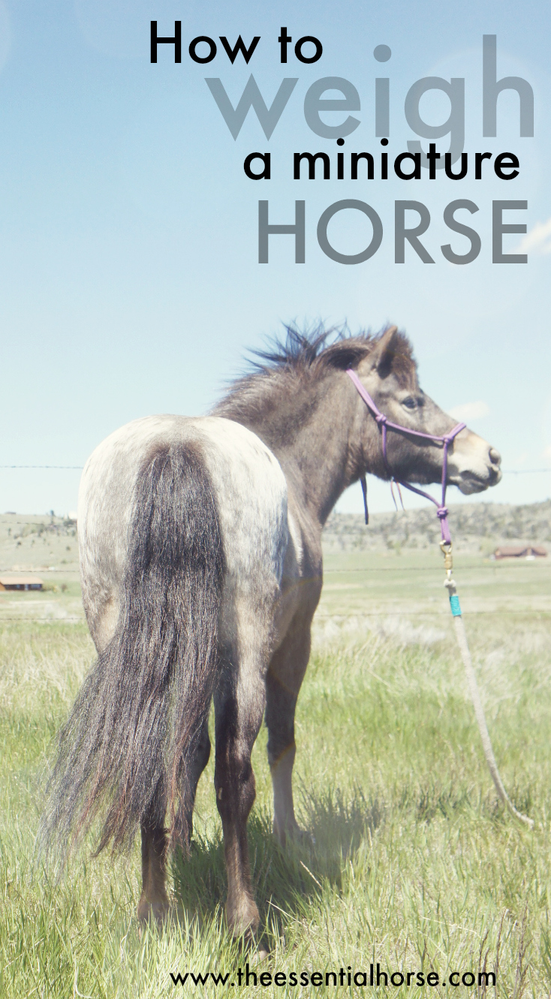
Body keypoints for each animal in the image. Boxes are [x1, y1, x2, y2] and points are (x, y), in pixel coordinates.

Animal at [41, 325, 502, 936]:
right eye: (412, 401)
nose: (489, 457)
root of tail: (178, 446)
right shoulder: (291, 646)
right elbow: (280, 742)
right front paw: (289, 836)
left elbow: (190, 752)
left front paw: (184, 844)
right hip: (248, 651)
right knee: (238, 771)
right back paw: (245, 921)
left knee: (152, 758)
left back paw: (154, 911)